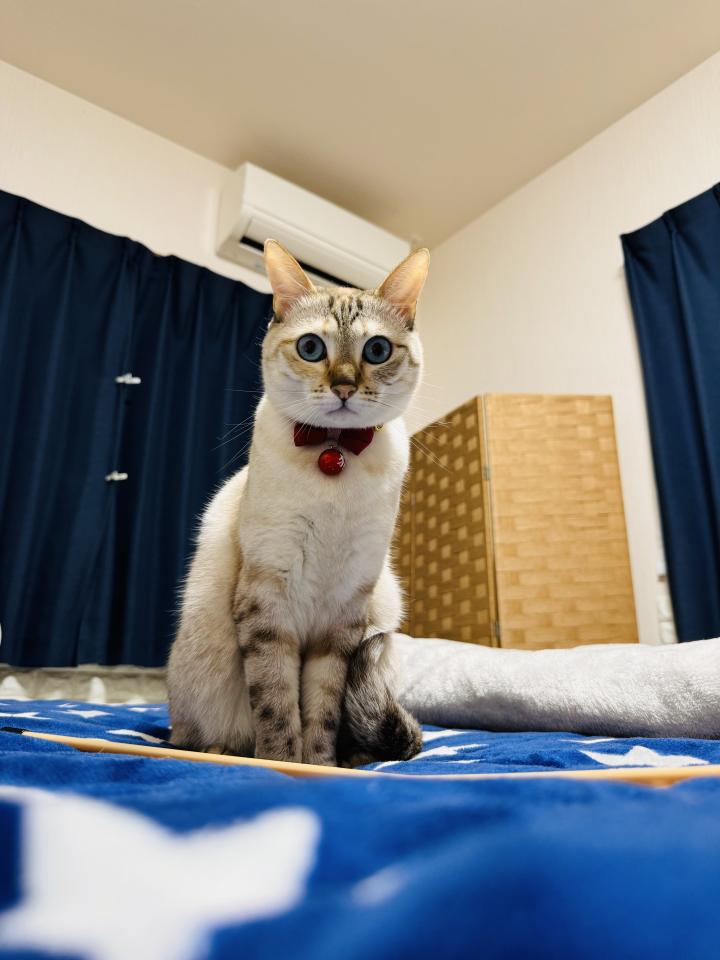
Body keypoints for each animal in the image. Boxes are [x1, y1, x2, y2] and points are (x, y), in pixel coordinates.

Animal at [167, 239, 428, 767]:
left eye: (377, 350)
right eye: (311, 348)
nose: (345, 386)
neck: (335, 450)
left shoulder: (343, 613)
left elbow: (322, 712)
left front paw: (322, 767)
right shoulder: (269, 602)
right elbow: (276, 706)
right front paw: (283, 764)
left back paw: (354, 759)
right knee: (192, 735)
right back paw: (218, 749)